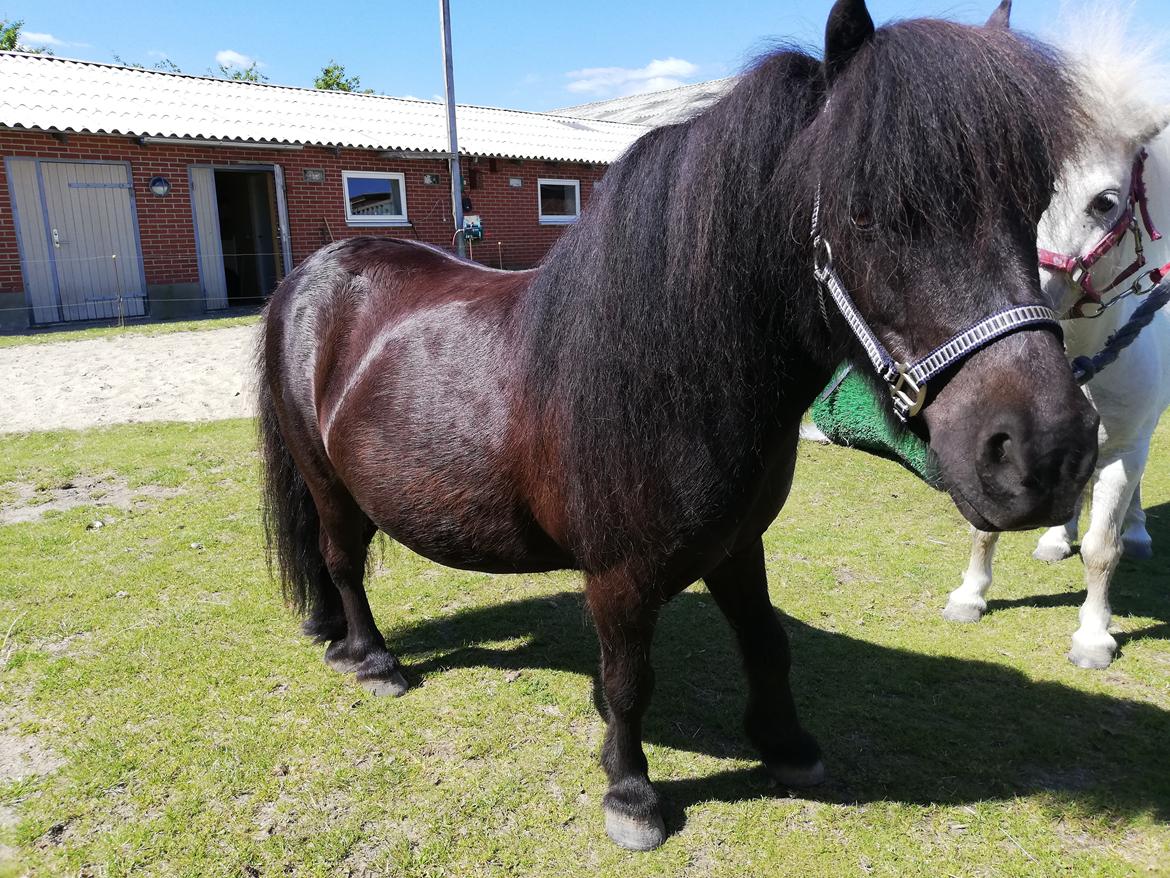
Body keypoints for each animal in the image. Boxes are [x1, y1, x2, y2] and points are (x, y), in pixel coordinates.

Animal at [256, 0, 1095, 852]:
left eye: (1031, 209)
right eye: (867, 212)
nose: (1047, 453)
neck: (672, 378)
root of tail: (313, 275)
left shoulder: (737, 544)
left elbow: (766, 642)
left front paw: (787, 747)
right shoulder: (617, 575)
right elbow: (629, 679)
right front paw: (631, 796)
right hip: (328, 482)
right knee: (341, 558)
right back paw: (372, 660)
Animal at [940, 6, 1170, 669]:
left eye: (1105, 202)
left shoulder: (1123, 447)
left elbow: (1102, 548)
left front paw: (1094, 635)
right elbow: (984, 525)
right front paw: (970, 595)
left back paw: (1138, 531)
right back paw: (1052, 537)